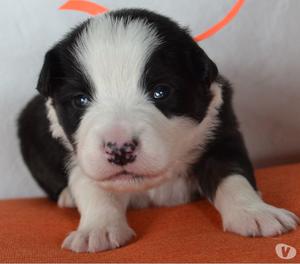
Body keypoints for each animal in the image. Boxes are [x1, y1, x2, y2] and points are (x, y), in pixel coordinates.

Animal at [17, 8, 298, 252]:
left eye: (160, 92)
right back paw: (67, 197)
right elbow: (92, 186)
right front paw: (97, 230)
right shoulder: (78, 155)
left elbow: (232, 176)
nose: (120, 149)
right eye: (81, 100)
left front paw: (256, 213)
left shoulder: (219, 133)